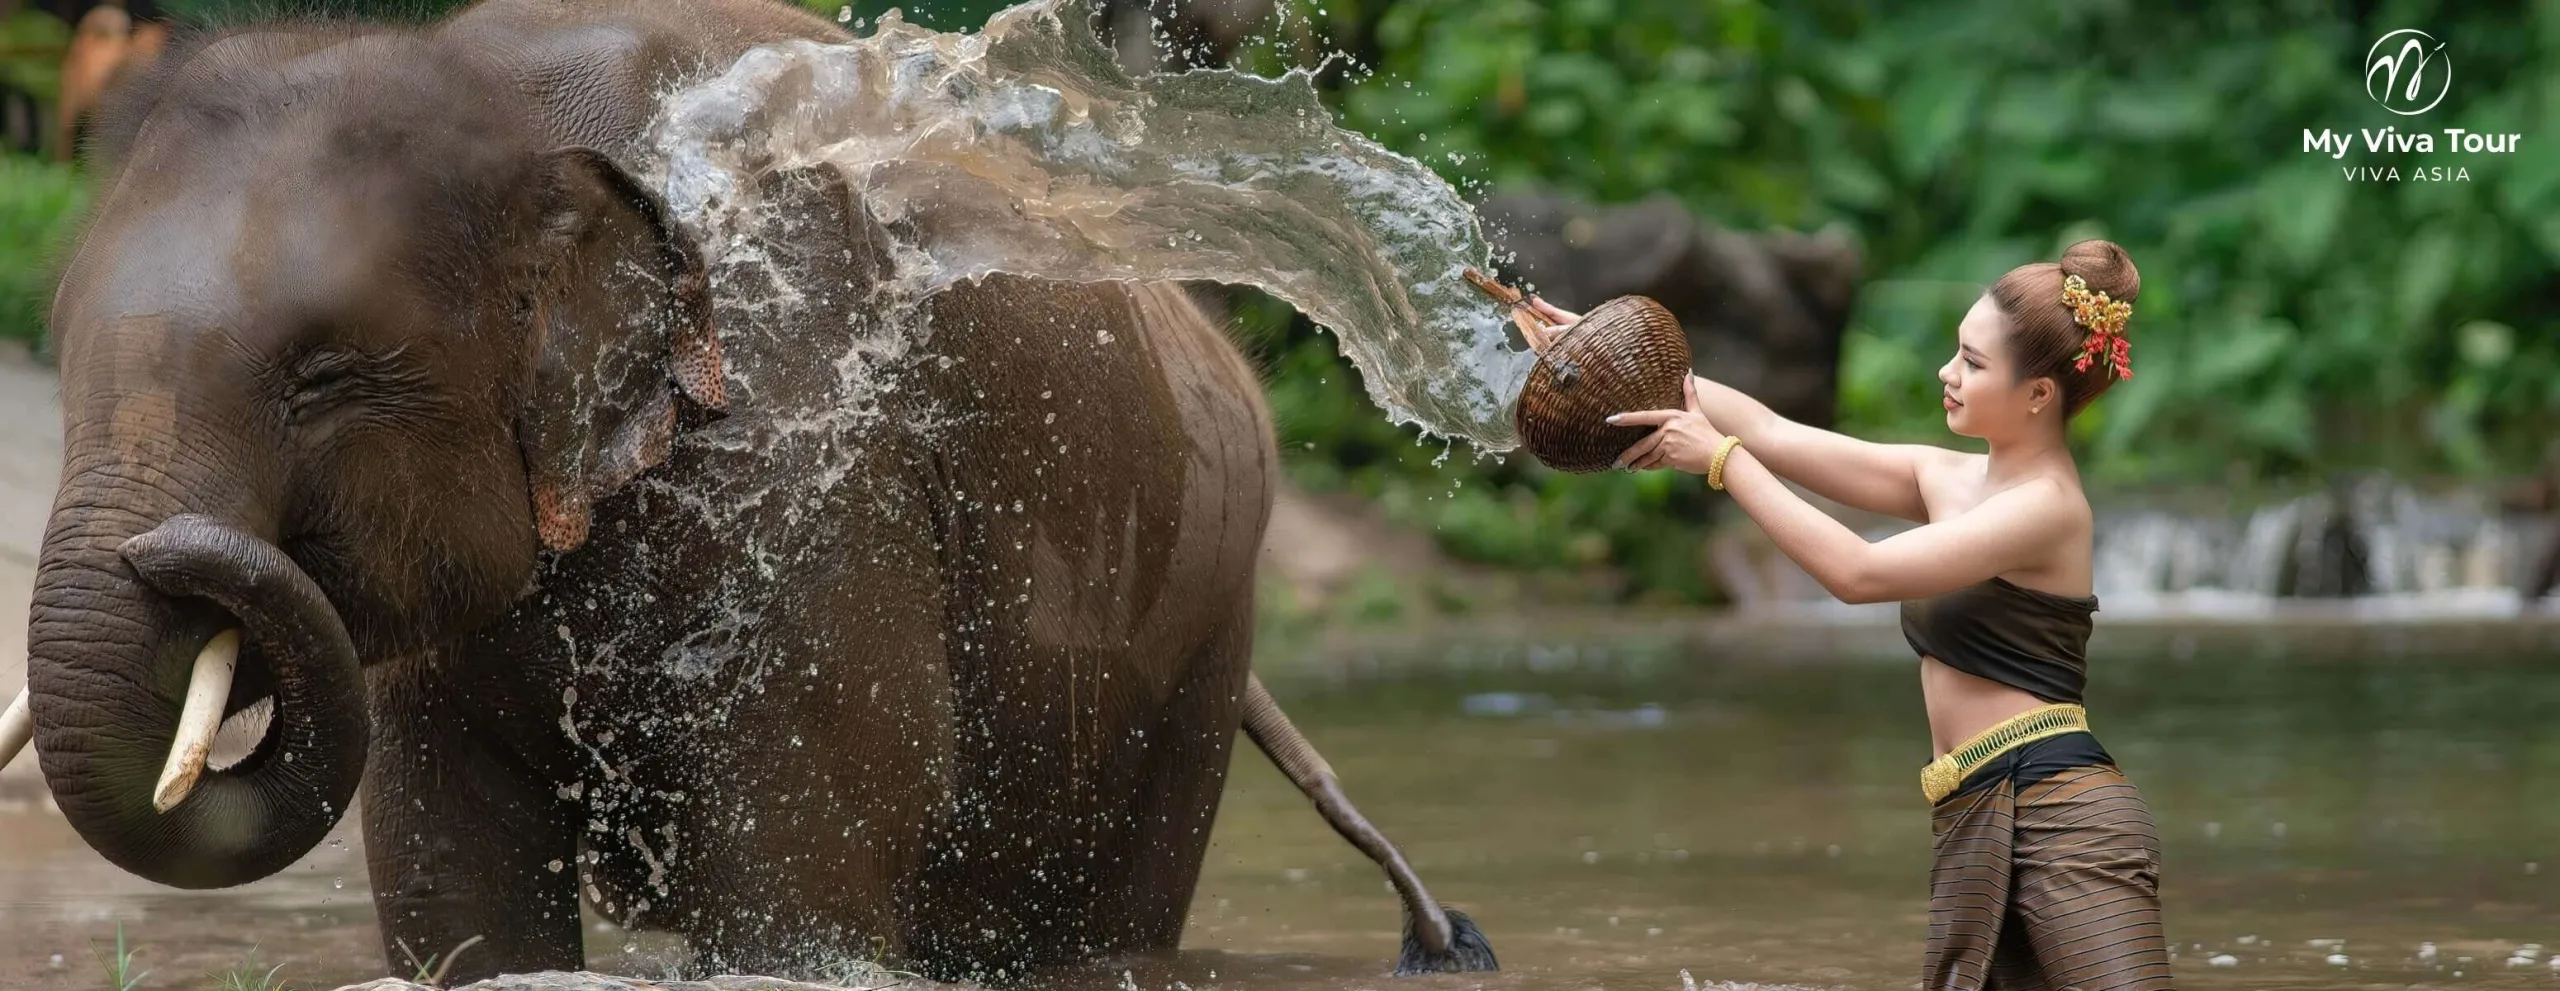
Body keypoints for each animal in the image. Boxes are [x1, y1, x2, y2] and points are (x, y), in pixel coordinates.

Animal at [5, 0, 1494, 983]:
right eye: (58, 347)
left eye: (321, 377)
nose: (174, 555)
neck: (500, 100)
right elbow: (449, 874)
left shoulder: (817, 462)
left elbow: (803, 875)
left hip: (1198, 631)